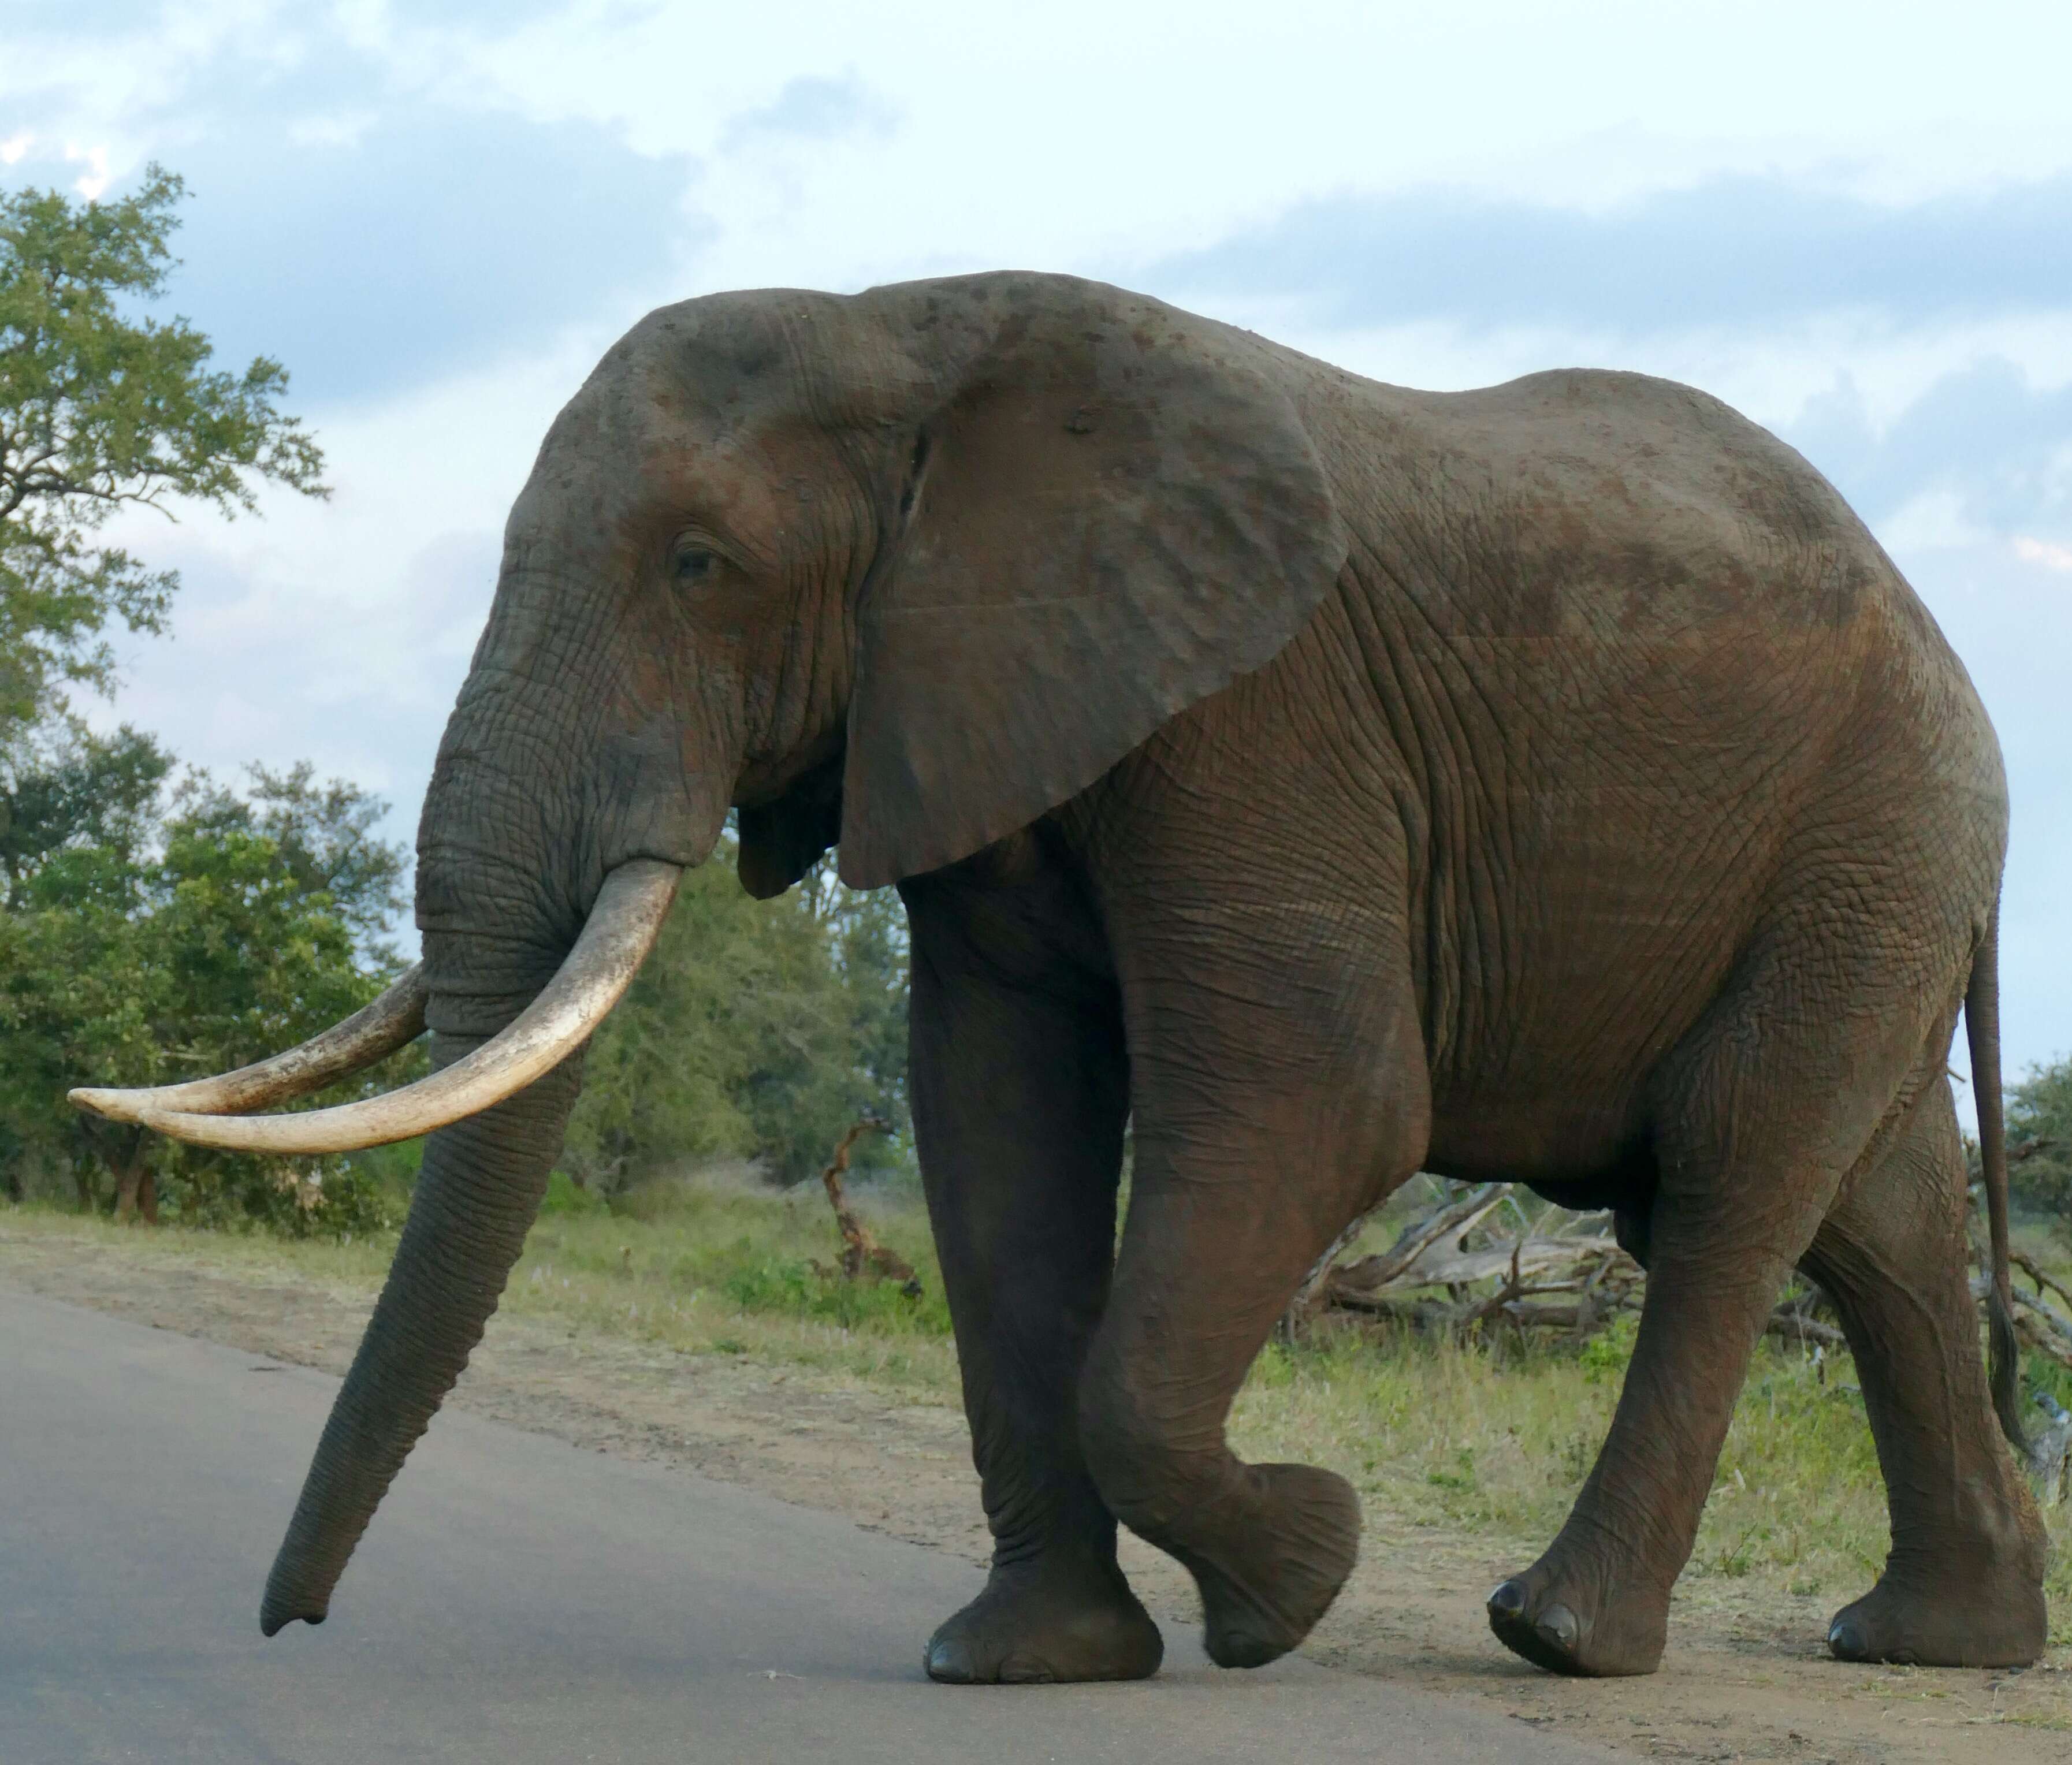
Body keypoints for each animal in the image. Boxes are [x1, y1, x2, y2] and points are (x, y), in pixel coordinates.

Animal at [73, 271, 2047, 1682]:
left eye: (701, 564)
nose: (289, 1624)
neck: (907, 328)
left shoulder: (1257, 714)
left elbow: (1319, 1102)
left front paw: (1297, 1579)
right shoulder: (970, 711)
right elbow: (996, 1122)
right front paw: (1024, 1663)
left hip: (1867, 832)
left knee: (1724, 1186)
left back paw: (1555, 1637)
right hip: (1871, 869)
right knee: (1876, 1216)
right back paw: (1937, 1641)